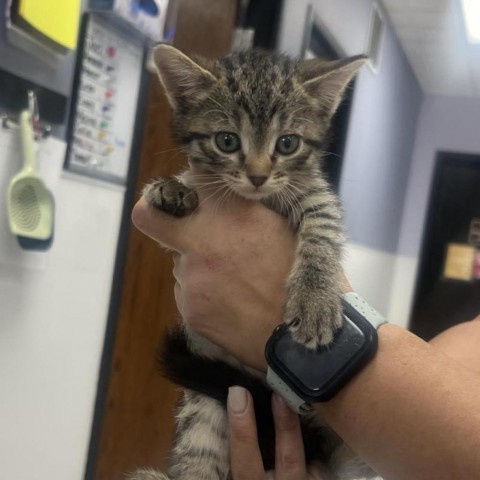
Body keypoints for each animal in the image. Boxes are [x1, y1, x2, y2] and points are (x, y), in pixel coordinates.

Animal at [128, 46, 376, 480]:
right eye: (227, 141)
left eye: (288, 143)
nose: (258, 176)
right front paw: (169, 188)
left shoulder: (317, 194)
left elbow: (324, 230)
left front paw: (315, 299)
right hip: (206, 412)